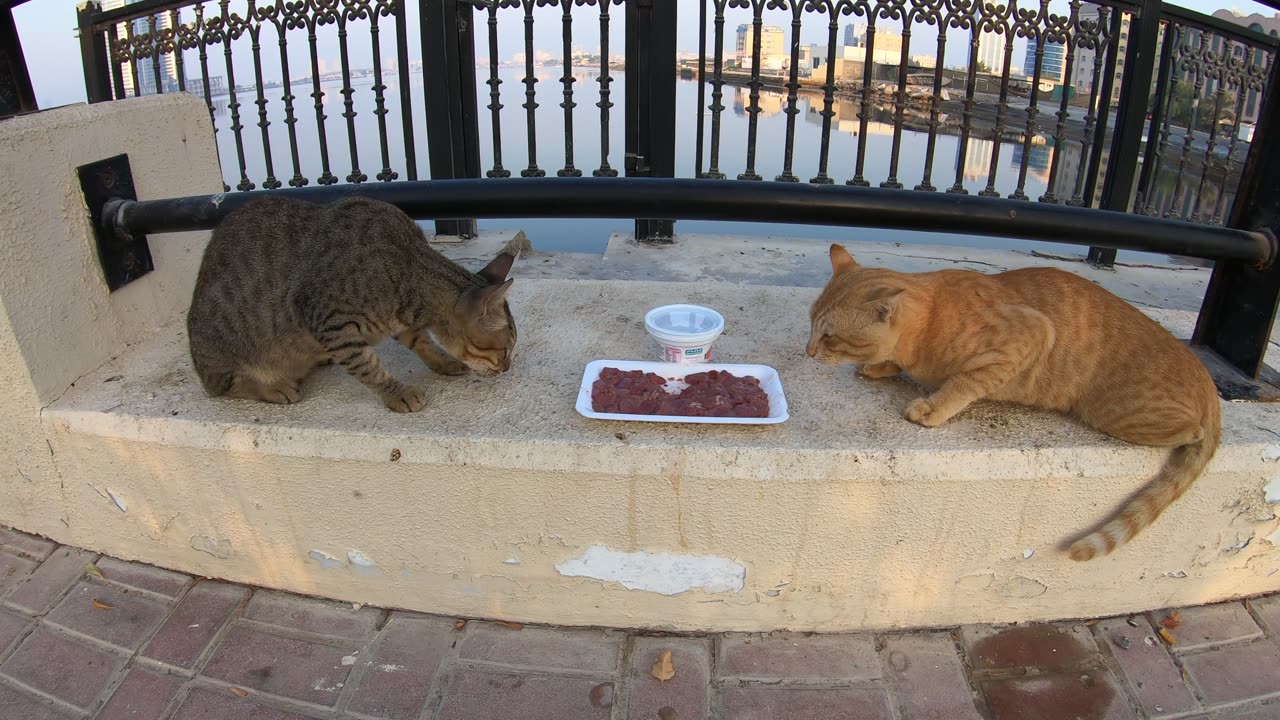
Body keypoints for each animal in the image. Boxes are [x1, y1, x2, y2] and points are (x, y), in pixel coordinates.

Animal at [186, 194, 517, 409]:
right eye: (503, 351)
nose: (507, 369)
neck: (409, 267)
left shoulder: (401, 321)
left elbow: (421, 341)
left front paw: (443, 361)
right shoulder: (327, 319)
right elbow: (366, 365)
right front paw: (395, 392)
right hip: (226, 343)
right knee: (221, 385)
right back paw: (273, 386)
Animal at [808, 243, 1218, 558]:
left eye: (829, 337)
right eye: (811, 322)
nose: (809, 351)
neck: (929, 325)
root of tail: (1210, 387)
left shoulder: (1030, 335)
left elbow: (966, 382)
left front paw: (933, 405)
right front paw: (881, 365)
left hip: (1116, 412)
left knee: (1194, 433)